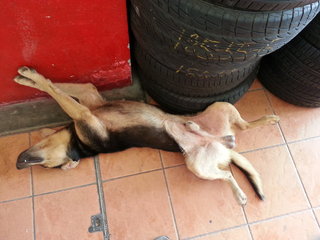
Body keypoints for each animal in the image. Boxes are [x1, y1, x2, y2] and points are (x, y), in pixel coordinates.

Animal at [15, 66, 280, 204]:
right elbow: (56, 89)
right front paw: (32, 78)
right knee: (227, 171)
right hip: (198, 165)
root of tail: (223, 145)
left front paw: (29, 77)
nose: (18, 163)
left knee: (243, 128)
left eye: (46, 165)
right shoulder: (85, 113)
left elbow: (57, 87)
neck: (79, 144)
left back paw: (268, 120)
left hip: (220, 106)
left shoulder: (86, 104)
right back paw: (238, 191)